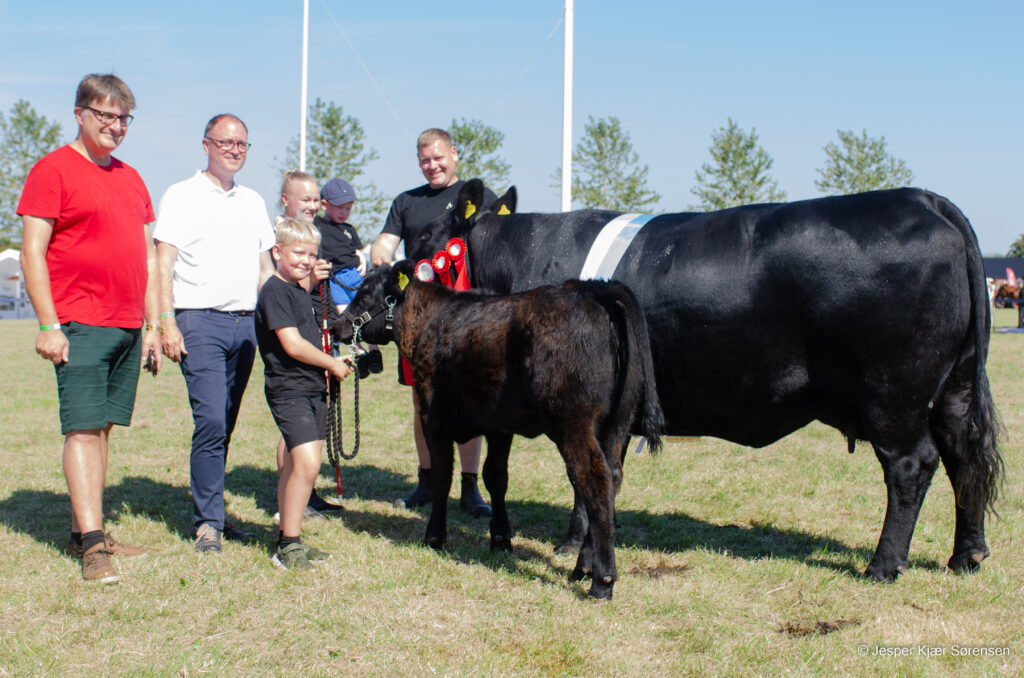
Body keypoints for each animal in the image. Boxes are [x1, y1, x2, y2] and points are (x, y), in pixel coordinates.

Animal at [333, 260, 663, 602]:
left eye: (365, 294)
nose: (335, 326)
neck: (432, 319)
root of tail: (594, 289)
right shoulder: (499, 425)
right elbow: (496, 477)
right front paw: (501, 538)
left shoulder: (432, 418)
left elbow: (441, 476)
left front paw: (435, 536)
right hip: (617, 424)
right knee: (613, 477)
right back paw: (583, 566)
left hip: (575, 423)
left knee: (593, 481)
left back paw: (602, 580)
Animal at [419, 180, 1003, 585]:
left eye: (427, 235)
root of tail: (925, 199)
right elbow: (601, 476)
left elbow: (584, 478)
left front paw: (571, 549)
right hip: (954, 386)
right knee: (964, 455)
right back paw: (966, 555)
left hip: (892, 395)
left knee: (912, 465)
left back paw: (884, 565)